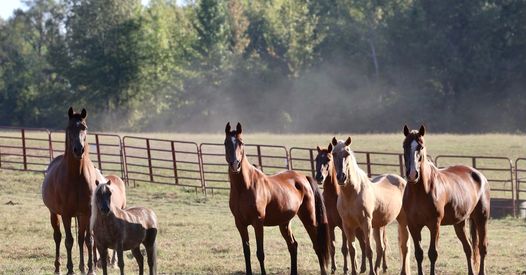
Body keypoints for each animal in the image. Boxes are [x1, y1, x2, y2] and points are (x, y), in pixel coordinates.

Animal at [42, 108, 105, 275]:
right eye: (69, 128)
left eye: (84, 127)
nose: (79, 150)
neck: (77, 176)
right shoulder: (65, 214)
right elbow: (69, 241)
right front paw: (70, 270)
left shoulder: (87, 212)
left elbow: (88, 240)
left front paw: (91, 269)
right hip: (54, 213)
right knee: (58, 237)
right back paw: (57, 268)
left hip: (81, 216)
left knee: (81, 238)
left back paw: (82, 267)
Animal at [226, 123, 332, 275]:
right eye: (226, 143)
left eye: (241, 143)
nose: (235, 164)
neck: (244, 187)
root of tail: (303, 177)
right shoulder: (240, 224)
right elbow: (247, 252)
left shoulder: (258, 223)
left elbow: (260, 253)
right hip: (284, 222)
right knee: (293, 245)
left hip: (309, 218)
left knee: (317, 246)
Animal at [316, 144, 370, 274]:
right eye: (316, 159)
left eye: (328, 159)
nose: (319, 177)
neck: (332, 197)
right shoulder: (330, 226)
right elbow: (332, 247)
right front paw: (333, 268)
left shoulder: (343, 226)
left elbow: (345, 248)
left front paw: (346, 269)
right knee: (362, 244)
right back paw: (361, 267)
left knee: (363, 244)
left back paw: (362, 267)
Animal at [334, 137, 412, 275]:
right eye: (333, 153)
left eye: (347, 153)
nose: (341, 177)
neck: (352, 194)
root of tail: (402, 180)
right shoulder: (347, 226)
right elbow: (352, 251)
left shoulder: (366, 224)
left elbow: (369, 250)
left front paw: (371, 272)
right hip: (378, 226)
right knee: (381, 248)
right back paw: (378, 269)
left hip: (403, 221)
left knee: (404, 247)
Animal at [404, 125, 490, 275]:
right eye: (404, 146)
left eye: (420, 147)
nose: (413, 174)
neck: (420, 191)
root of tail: (480, 177)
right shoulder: (413, 226)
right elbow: (419, 254)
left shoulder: (435, 225)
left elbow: (432, 253)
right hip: (459, 223)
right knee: (468, 248)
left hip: (481, 219)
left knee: (482, 248)